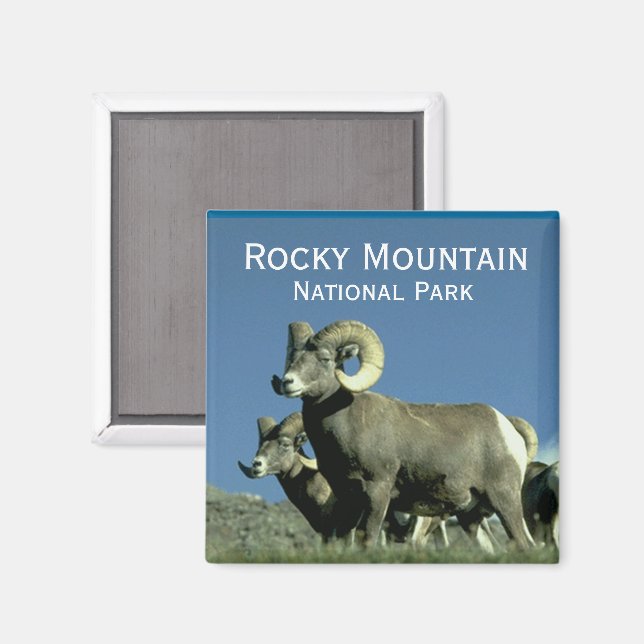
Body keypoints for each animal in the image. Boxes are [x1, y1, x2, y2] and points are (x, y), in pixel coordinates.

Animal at [271, 319, 538, 548]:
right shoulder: (348, 499)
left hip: (504, 500)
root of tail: (507, 430)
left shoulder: (377, 491)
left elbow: (367, 538)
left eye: (325, 358)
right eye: (292, 358)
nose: (288, 382)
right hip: (471, 517)